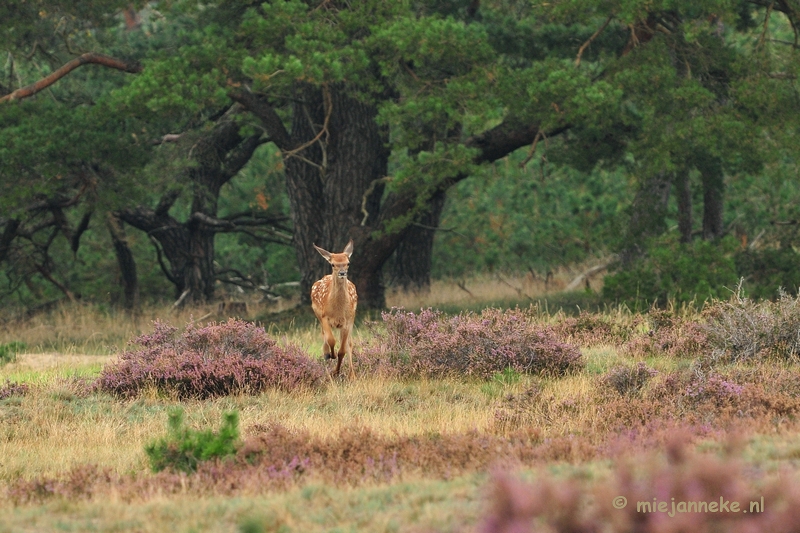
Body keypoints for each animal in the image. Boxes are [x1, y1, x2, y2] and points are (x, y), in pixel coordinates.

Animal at [310, 237, 356, 378]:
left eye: (348, 263)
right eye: (333, 264)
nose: (342, 273)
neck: (338, 311)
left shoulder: (347, 321)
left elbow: (343, 350)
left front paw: (336, 371)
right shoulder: (324, 316)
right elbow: (331, 340)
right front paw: (330, 355)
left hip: (351, 320)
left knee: (349, 344)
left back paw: (352, 375)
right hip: (318, 314)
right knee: (324, 334)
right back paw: (326, 354)